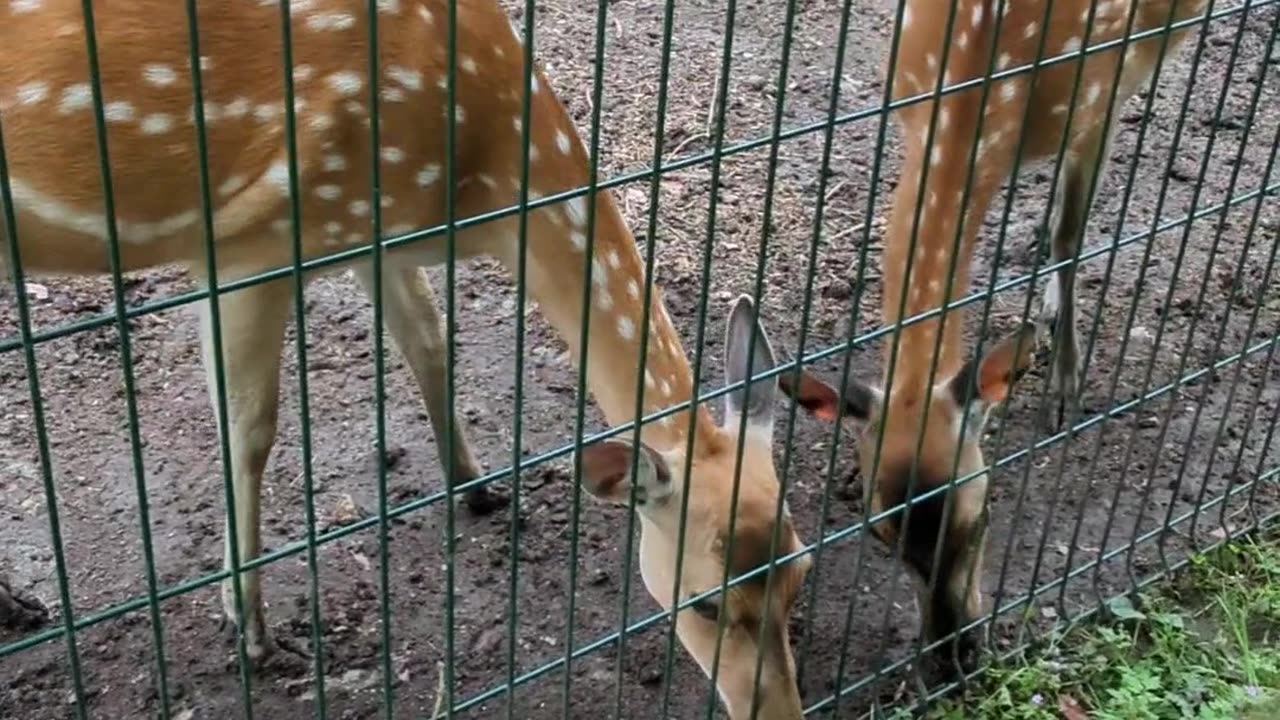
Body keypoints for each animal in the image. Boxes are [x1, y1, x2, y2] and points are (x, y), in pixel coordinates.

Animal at [0, 1, 814, 712]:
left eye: (802, 567)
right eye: (706, 603)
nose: (777, 710)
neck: (477, 177)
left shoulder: (369, 232)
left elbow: (429, 340)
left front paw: (478, 486)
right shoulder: (253, 241)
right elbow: (250, 426)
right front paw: (252, 628)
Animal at [768, 0, 1208, 671]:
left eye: (980, 518)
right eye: (880, 532)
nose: (953, 654)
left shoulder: (1098, 92)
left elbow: (1072, 236)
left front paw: (1065, 384)